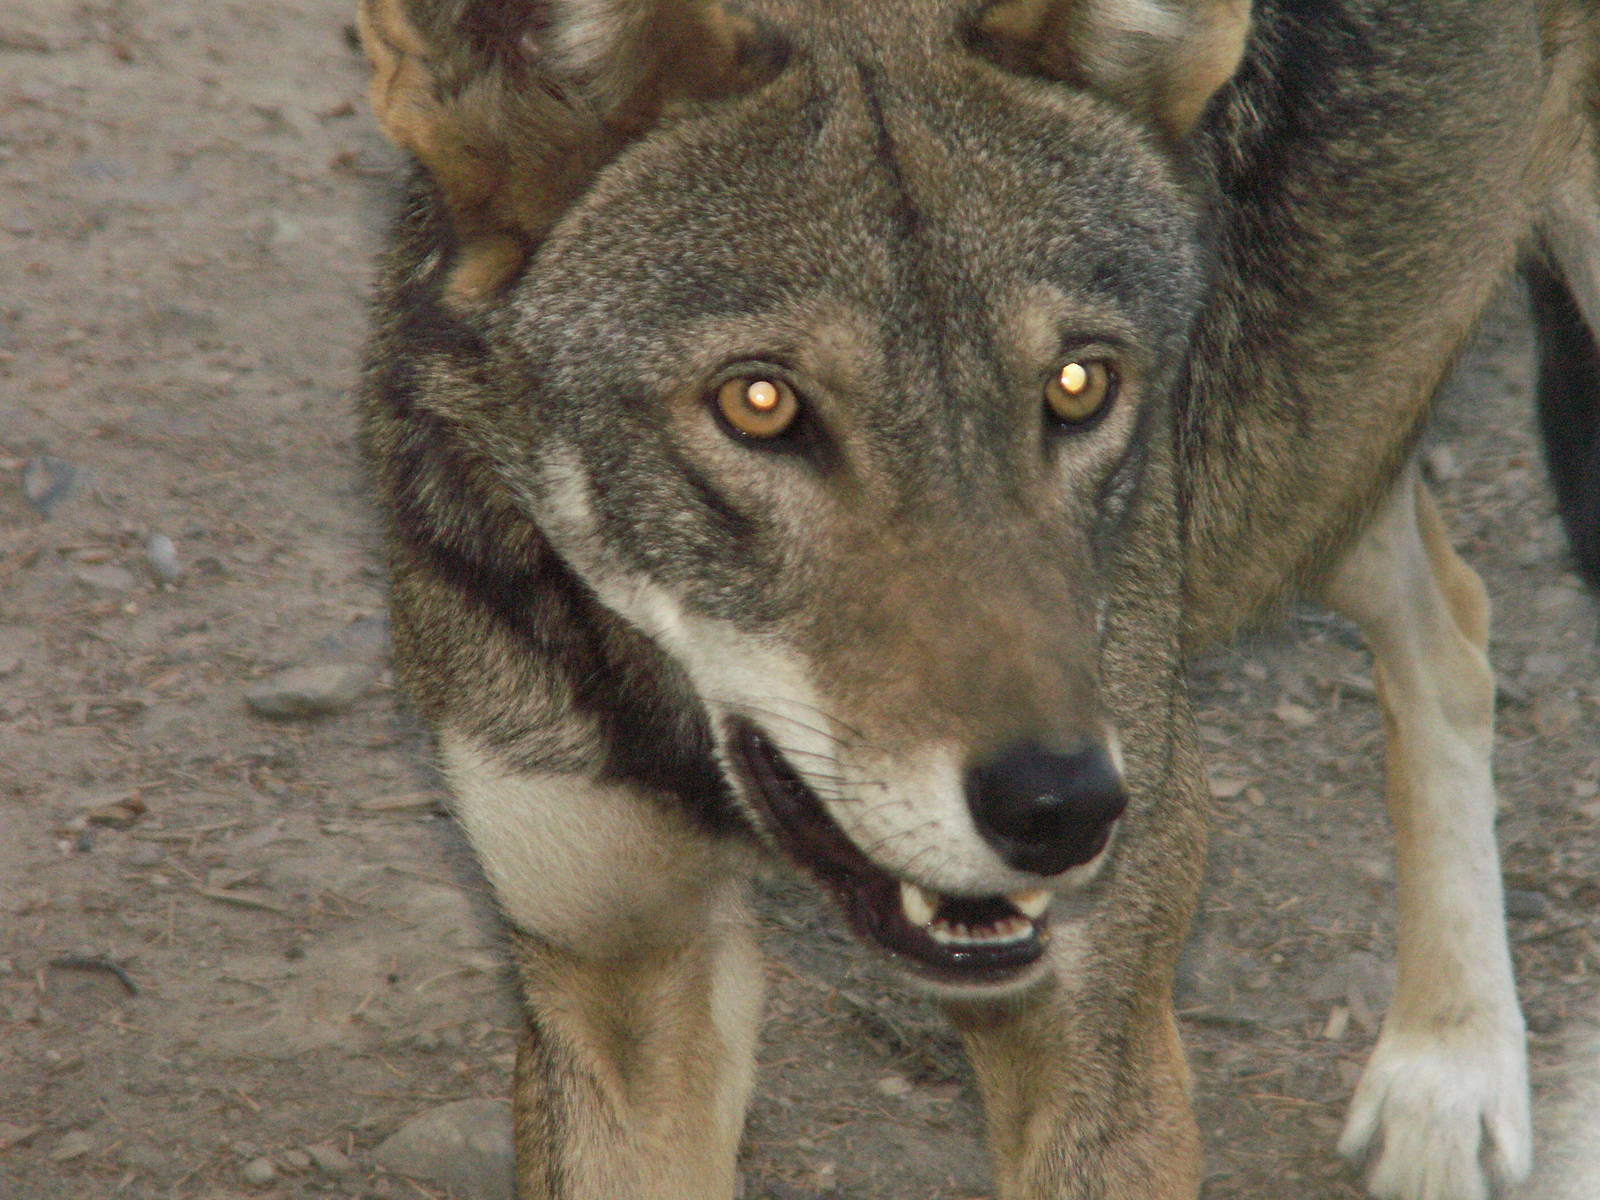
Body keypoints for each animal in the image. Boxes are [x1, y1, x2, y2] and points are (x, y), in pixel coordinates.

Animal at [354, 0, 1600, 1196]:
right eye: (758, 403)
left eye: (1079, 383)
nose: (1061, 809)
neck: (673, 735)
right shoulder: (617, 984)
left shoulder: (1090, 1025)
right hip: (1332, 440)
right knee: (1451, 617)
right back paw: (1448, 1072)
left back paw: (1452, 1073)